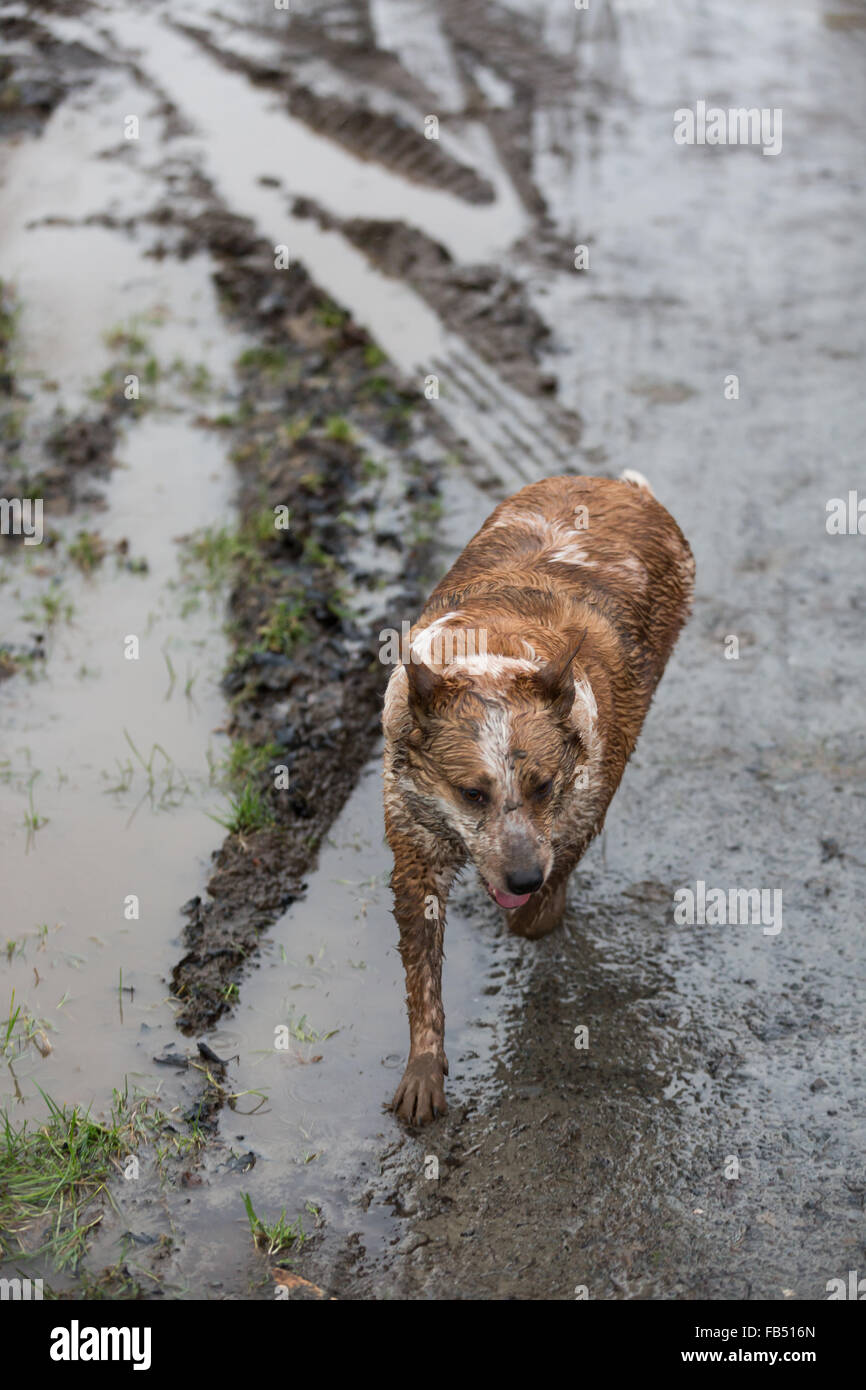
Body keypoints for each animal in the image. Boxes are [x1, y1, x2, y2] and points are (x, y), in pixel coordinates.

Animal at [383, 472, 695, 1123]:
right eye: (471, 792)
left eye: (544, 785)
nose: (523, 877)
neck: (490, 659)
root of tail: (618, 485)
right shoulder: (413, 833)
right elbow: (421, 963)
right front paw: (423, 1071)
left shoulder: (579, 808)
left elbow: (540, 902)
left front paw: (534, 913)